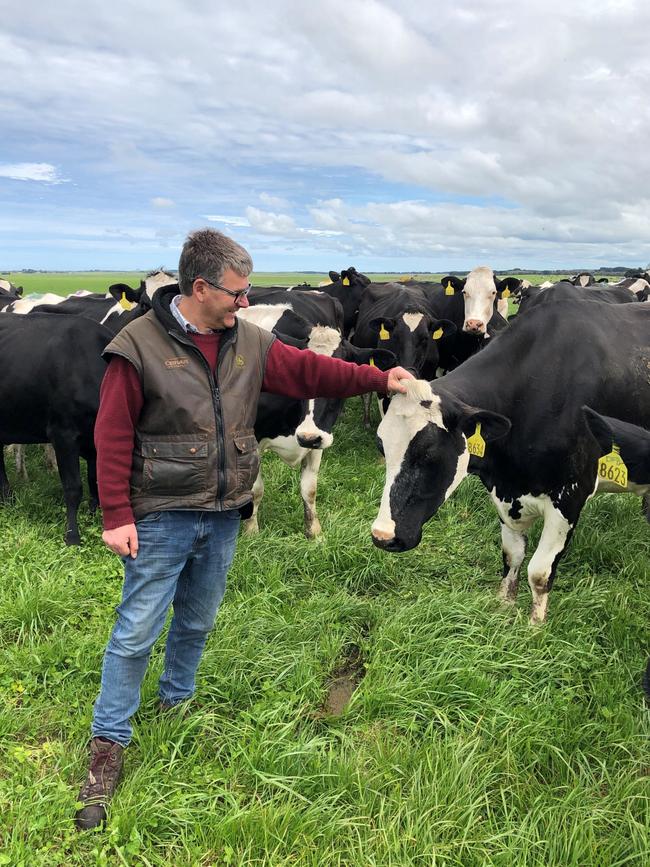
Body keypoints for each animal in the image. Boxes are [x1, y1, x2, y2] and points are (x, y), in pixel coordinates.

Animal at [370, 296, 648, 624]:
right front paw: (504, 606)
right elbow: (511, 555)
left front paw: (534, 627)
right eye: (382, 446)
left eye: (429, 452)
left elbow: (539, 573)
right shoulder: (504, 492)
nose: (382, 535)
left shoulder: (570, 497)